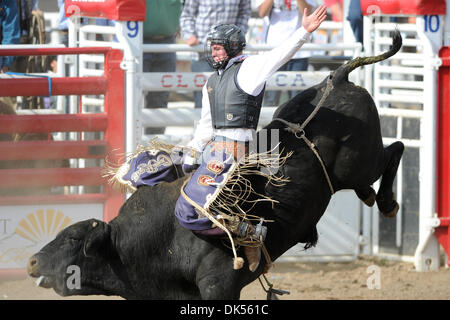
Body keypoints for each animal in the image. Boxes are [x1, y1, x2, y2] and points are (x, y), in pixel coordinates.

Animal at [25, 31, 404, 298]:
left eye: (72, 238)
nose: (32, 261)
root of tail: (336, 78)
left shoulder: (218, 285)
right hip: (348, 174)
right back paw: (371, 196)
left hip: (360, 161)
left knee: (395, 150)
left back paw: (387, 202)